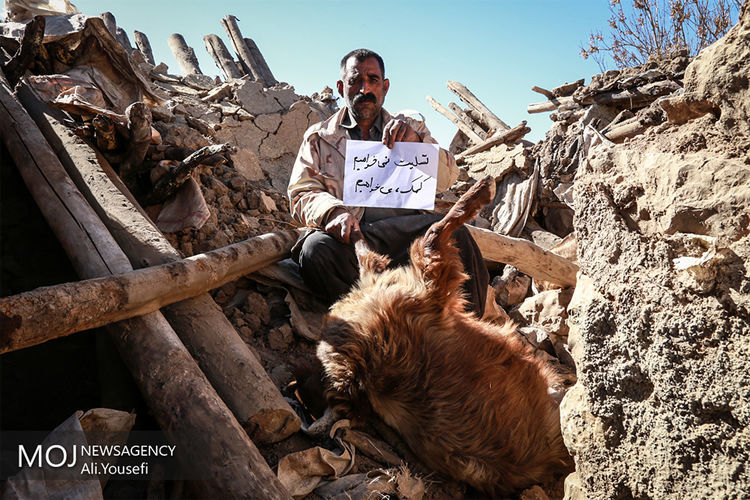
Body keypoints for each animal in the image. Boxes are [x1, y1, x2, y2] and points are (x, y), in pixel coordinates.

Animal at [318, 177, 576, 496]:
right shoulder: (428, 289)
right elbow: (432, 237)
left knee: (369, 253)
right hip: (421, 287)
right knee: (430, 236)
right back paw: (477, 193)